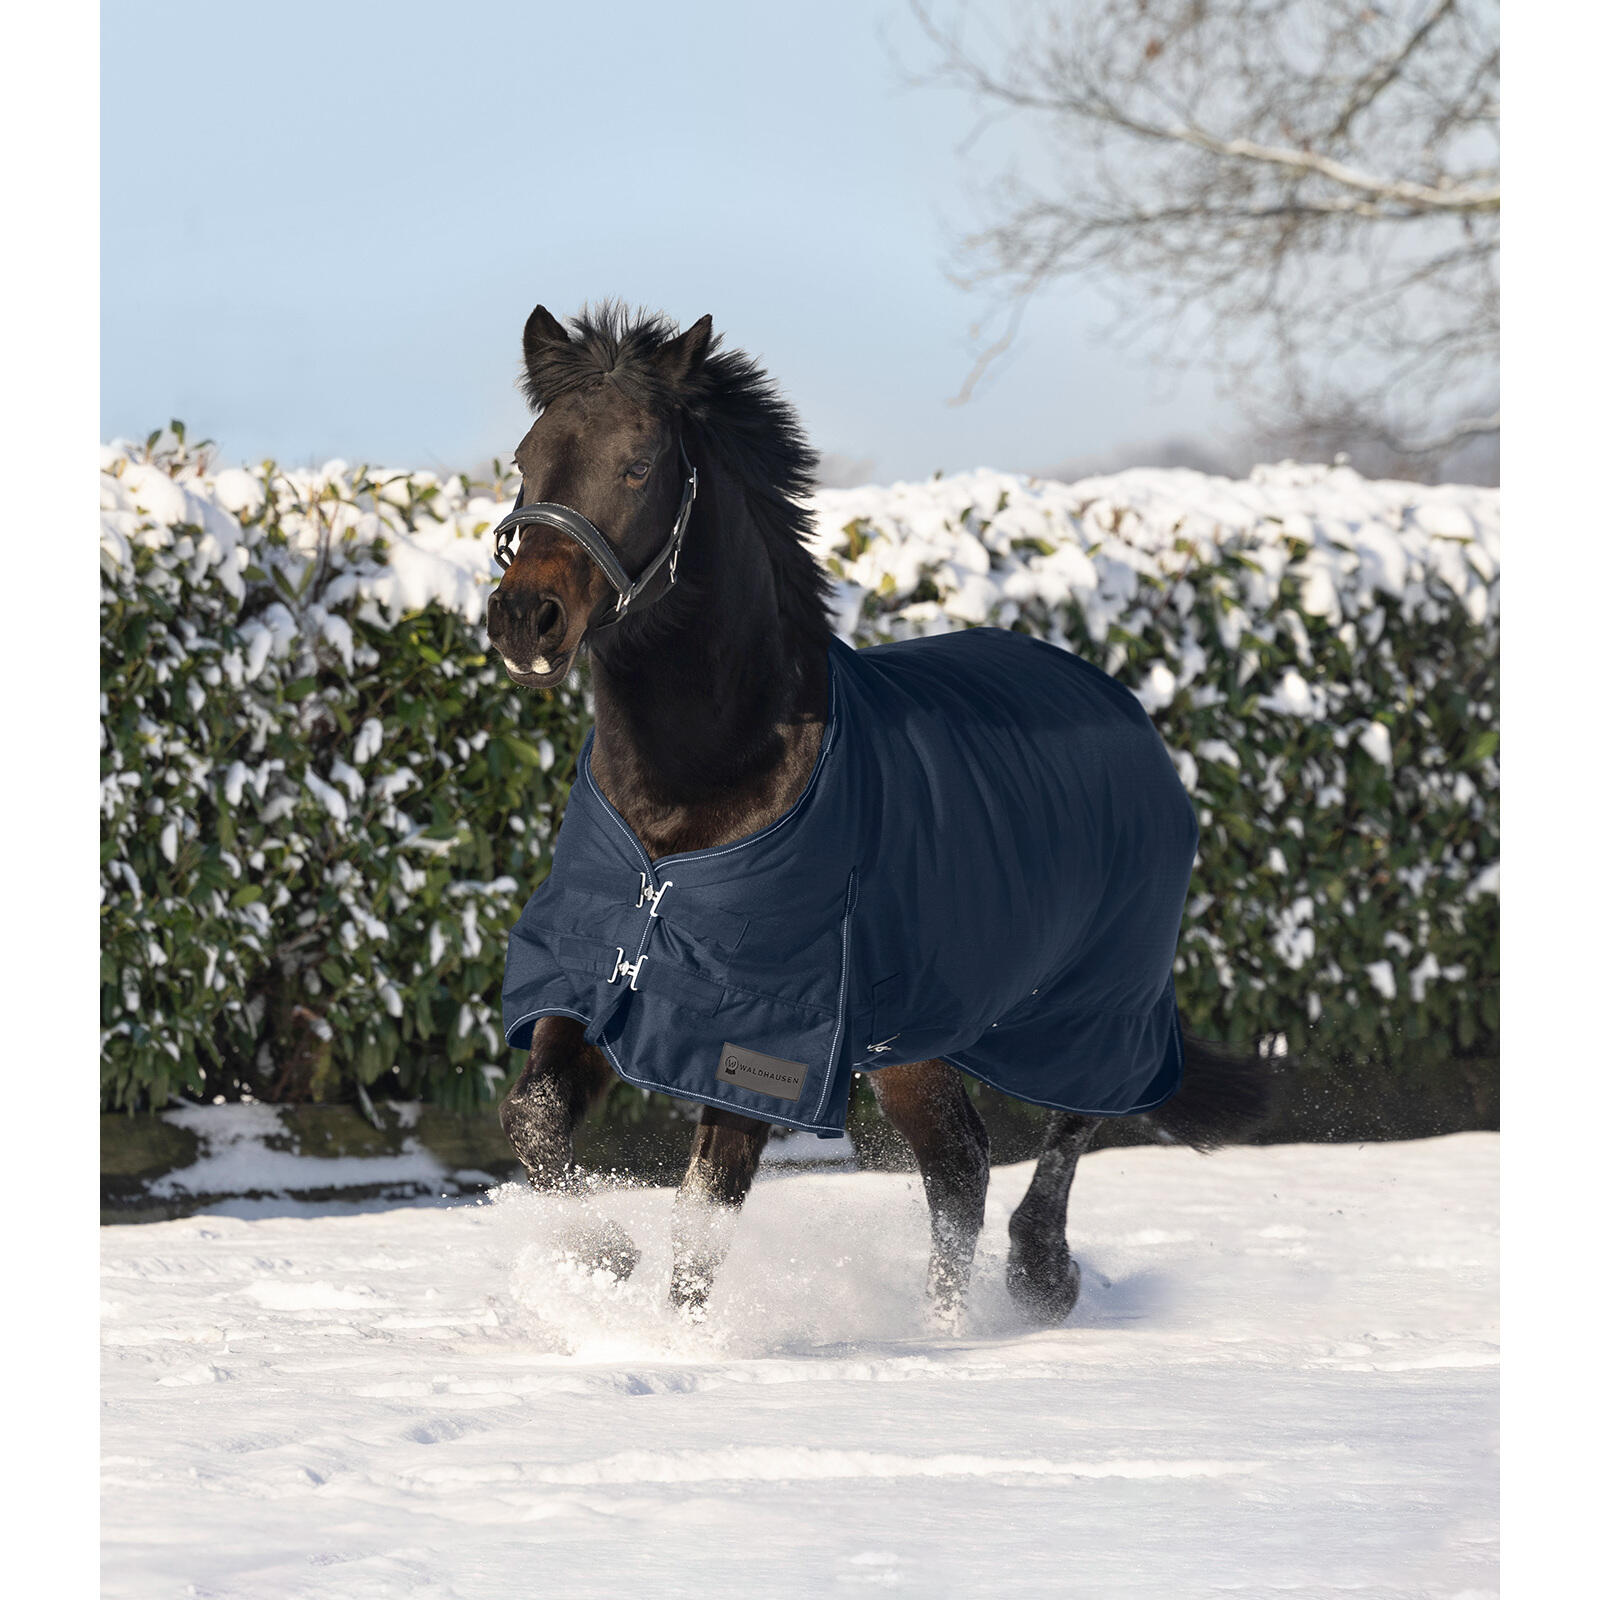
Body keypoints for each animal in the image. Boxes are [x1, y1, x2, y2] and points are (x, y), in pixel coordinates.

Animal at [486, 302, 1270, 1325]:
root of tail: (1129, 713)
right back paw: (944, 1325)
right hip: (917, 1034)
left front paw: (669, 1337)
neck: (695, 796)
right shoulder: (590, 976)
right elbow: (535, 1121)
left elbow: (705, 1210)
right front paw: (602, 1261)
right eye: (526, 458)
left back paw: (1037, 1281)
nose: (523, 619)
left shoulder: (762, 1035)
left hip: (1097, 1004)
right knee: (959, 1162)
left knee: (1067, 1128)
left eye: (640, 464)